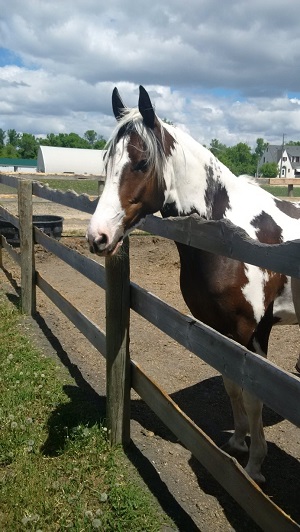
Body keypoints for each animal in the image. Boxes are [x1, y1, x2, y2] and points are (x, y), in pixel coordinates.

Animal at [86, 85, 300, 484]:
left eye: (141, 162)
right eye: (106, 163)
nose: (98, 237)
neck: (229, 237)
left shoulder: (253, 330)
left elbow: (253, 395)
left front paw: (255, 465)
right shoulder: (219, 328)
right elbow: (231, 385)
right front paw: (239, 442)